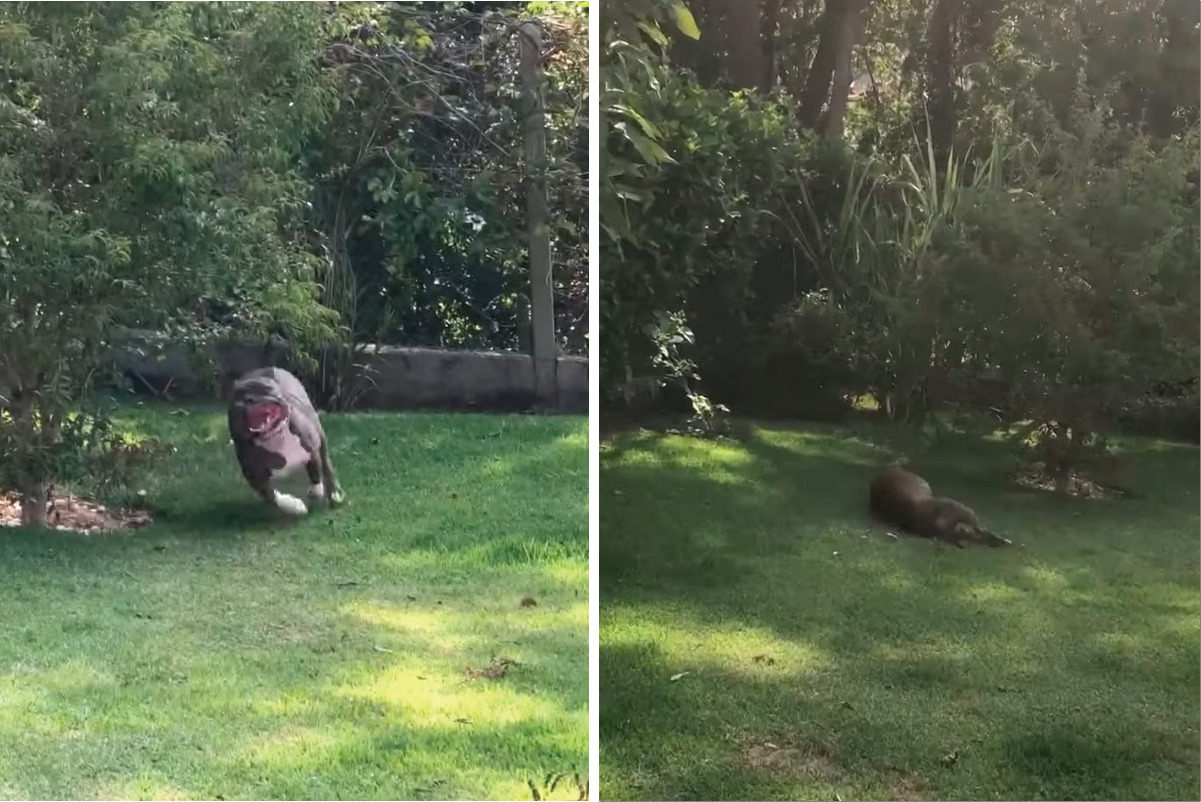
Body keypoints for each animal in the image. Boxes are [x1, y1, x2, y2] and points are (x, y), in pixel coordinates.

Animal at [226, 367, 345, 513]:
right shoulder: (253, 473)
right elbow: (270, 495)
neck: (273, 436)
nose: (251, 399)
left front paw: (318, 491)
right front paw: (295, 506)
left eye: (268, 389)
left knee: (326, 463)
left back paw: (333, 493)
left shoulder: (310, 445)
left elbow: (315, 469)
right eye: (239, 394)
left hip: (319, 434)